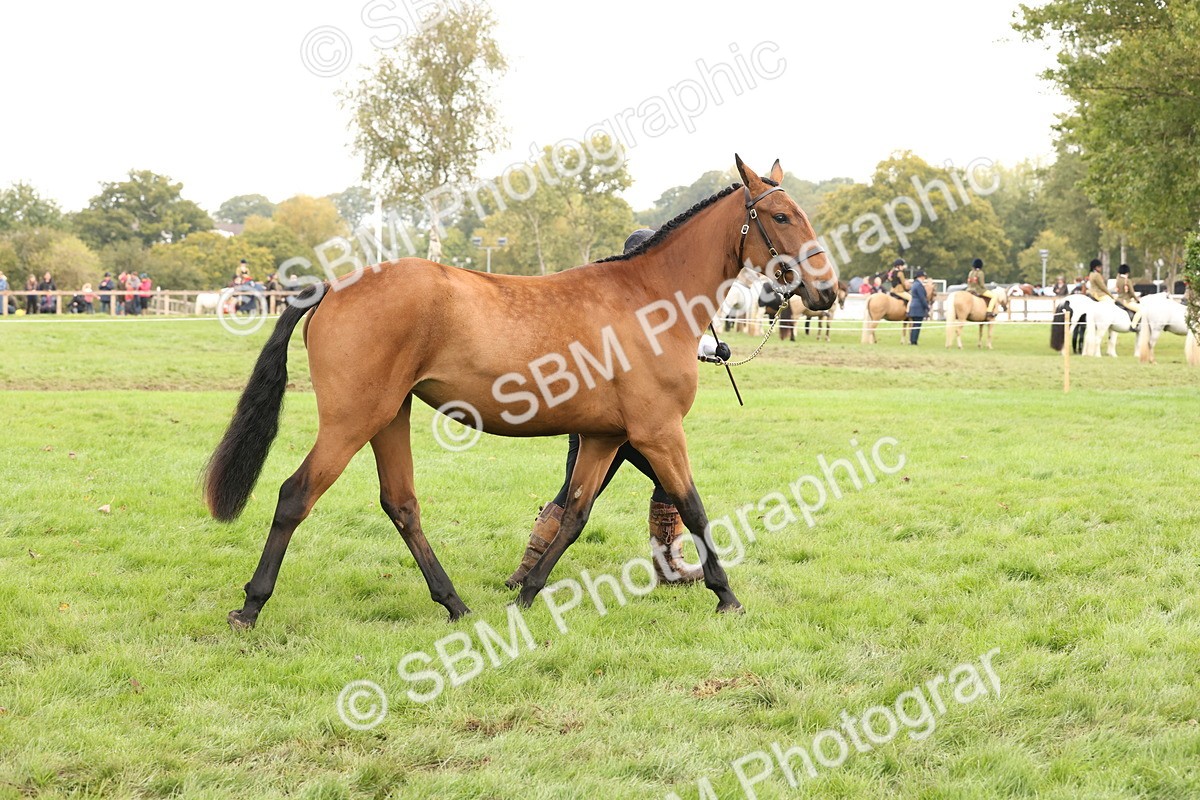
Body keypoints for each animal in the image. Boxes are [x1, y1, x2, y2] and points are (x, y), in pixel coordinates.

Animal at [203, 156, 839, 627]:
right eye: (781, 215)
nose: (826, 291)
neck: (650, 298)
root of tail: (334, 286)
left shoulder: (604, 437)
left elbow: (574, 514)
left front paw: (527, 593)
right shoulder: (658, 432)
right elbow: (694, 506)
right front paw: (726, 595)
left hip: (389, 416)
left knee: (401, 504)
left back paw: (455, 604)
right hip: (352, 419)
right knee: (295, 495)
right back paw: (250, 606)